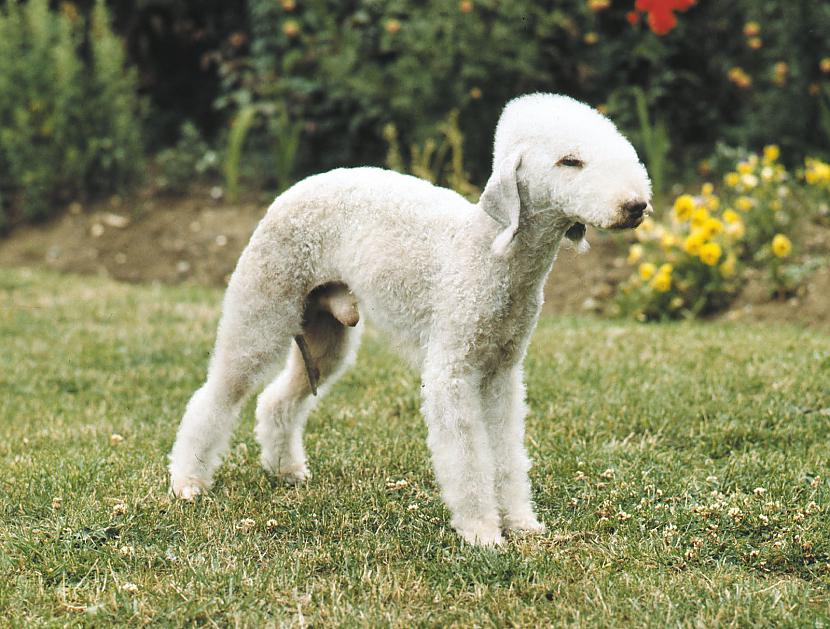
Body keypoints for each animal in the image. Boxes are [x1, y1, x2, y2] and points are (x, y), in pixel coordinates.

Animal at [167, 93, 648, 544]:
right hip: (261, 310)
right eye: (570, 161)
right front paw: (481, 532)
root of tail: (292, 189)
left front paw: (521, 524)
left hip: (326, 335)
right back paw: (188, 481)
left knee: (277, 400)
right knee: (216, 395)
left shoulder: (502, 372)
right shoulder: (452, 371)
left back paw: (286, 470)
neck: (490, 253)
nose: (637, 205)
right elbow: (467, 458)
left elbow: (507, 454)